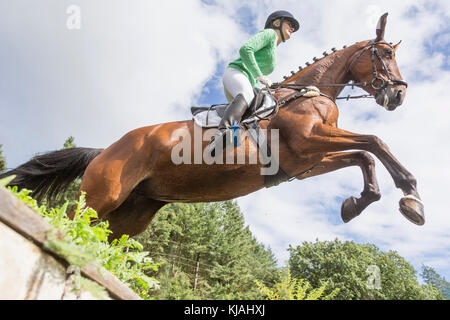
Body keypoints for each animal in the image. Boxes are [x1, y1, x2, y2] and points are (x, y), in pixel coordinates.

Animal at [0, 13, 422, 240]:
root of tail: (106, 149)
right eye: (385, 53)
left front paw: (356, 204)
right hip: (101, 196)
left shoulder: (305, 163)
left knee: (102, 242)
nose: (399, 95)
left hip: (131, 213)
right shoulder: (308, 140)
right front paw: (411, 196)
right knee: (72, 225)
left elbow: (363, 157)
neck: (311, 92)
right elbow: (375, 142)